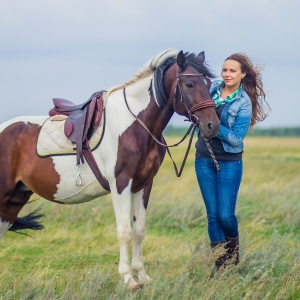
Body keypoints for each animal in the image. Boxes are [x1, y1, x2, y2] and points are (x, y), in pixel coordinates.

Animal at [0, 48, 219, 288]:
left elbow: (139, 230)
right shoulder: (121, 184)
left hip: (15, 199)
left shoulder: (143, 185)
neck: (136, 124)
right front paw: (128, 279)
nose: (213, 125)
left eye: (209, 84)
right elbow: (125, 231)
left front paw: (142, 276)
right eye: (189, 84)